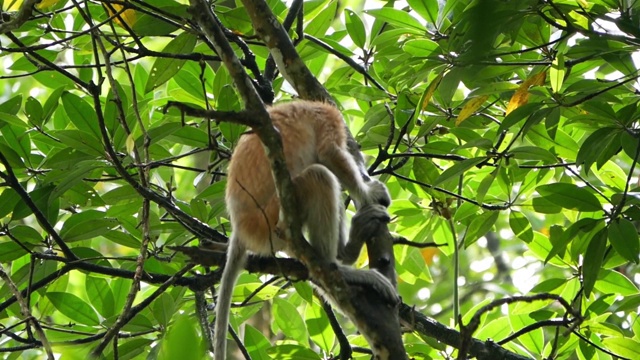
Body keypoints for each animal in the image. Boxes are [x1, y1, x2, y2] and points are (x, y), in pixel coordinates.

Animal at [215, 100, 396, 360]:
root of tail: (240, 228)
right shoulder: (327, 117)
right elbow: (329, 154)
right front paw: (371, 193)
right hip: (271, 217)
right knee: (319, 176)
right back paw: (338, 265)